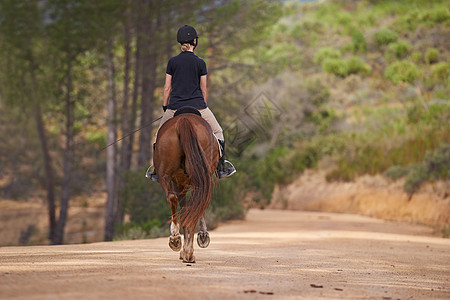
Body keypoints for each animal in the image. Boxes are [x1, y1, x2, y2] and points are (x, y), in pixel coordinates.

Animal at [153, 112, 220, 262]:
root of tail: (184, 120)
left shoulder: (178, 183)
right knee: (195, 204)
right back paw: (188, 250)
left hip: (166, 176)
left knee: (173, 198)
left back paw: (176, 240)